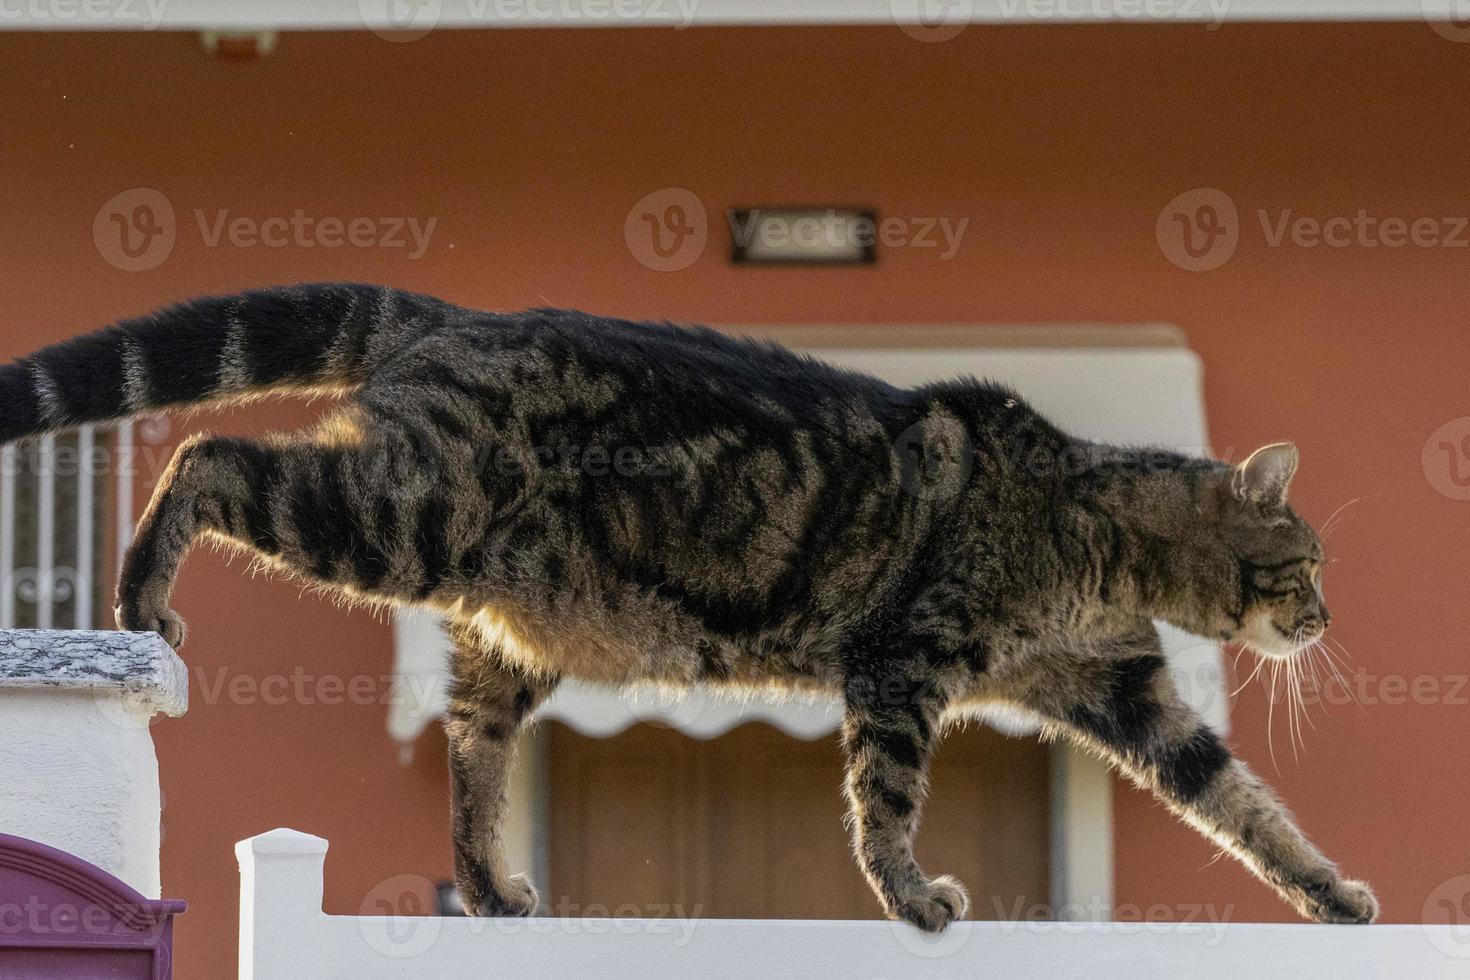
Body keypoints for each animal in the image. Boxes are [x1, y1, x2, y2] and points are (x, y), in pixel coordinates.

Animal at [0, 285, 1375, 934]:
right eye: (1306, 561)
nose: (1323, 621)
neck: (1092, 534)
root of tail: (453, 314)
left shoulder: (1124, 693)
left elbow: (1248, 806)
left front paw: (1336, 893)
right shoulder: (904, 663)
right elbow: (886, 798)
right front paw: (912, 896)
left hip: (503, 634)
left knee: (470, 762)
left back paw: (491, 889)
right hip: (395, 516)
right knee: (210, 459)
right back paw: (138, 591)